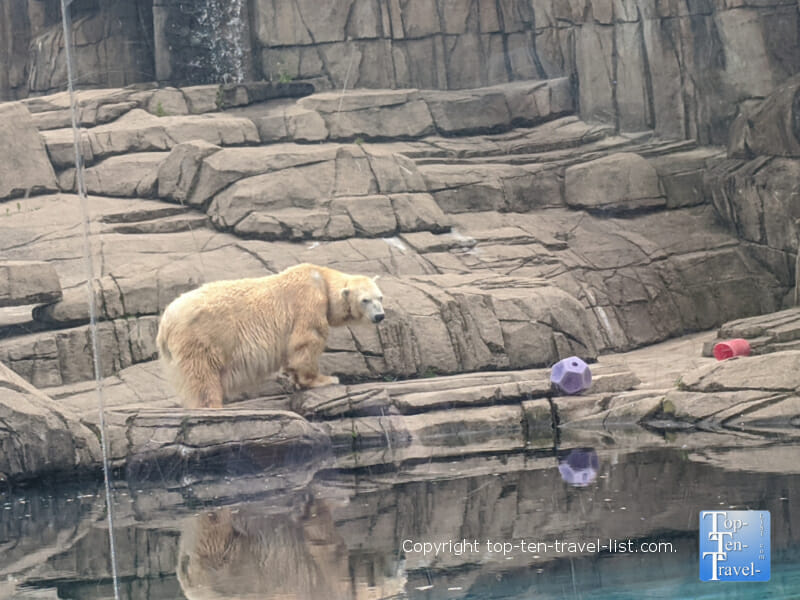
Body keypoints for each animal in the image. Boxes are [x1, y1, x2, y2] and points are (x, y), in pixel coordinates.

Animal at [156, 262, 384, 408]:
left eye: (380, 297)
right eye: (365, 300)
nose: (380, 315)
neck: (321, 279)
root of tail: (165, 321)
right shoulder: (308, 301)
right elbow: (306, 340)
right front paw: (326, 379)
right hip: (201, 335)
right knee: (202, 374)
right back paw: (211, 406)